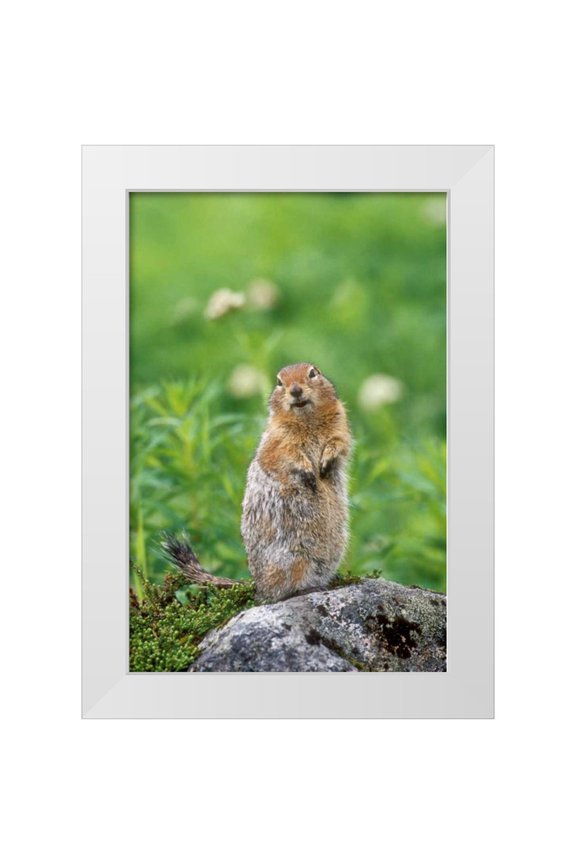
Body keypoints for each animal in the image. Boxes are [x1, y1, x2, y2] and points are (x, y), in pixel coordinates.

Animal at [163, 363, 352, 603]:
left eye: (313, 373)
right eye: (279, 381)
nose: (295, 390)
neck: (307, 420)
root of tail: (257, 585)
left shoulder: (340, 426)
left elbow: (339, 443)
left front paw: (326, 462)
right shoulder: (278, 439)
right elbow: (286, 454)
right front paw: (309, 473)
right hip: (292, 560)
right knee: (278, 594)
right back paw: (304, 589)